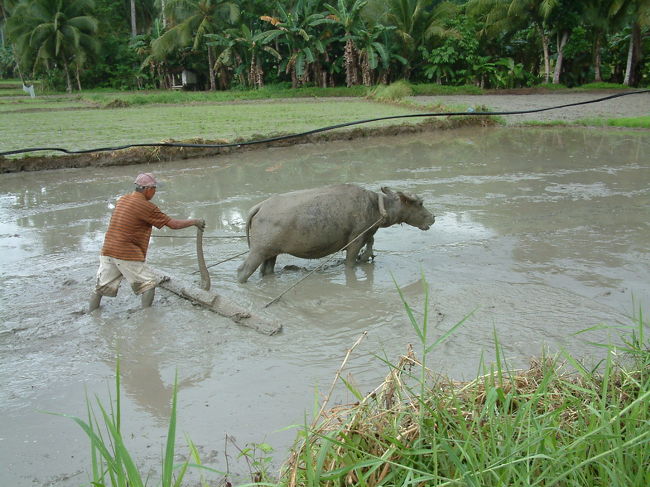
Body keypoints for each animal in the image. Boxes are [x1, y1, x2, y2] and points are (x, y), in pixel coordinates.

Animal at [235, 186, 432, 286]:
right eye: (420, 203)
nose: (433, 217)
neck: (376, 206)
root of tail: (260, 206)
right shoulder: (355, 240)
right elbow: (350, 262)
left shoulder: (367, 233)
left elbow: (371, 243)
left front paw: (367, 256)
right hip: (258, 251)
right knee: (243, 270)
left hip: (271, 253)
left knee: (267, 270)